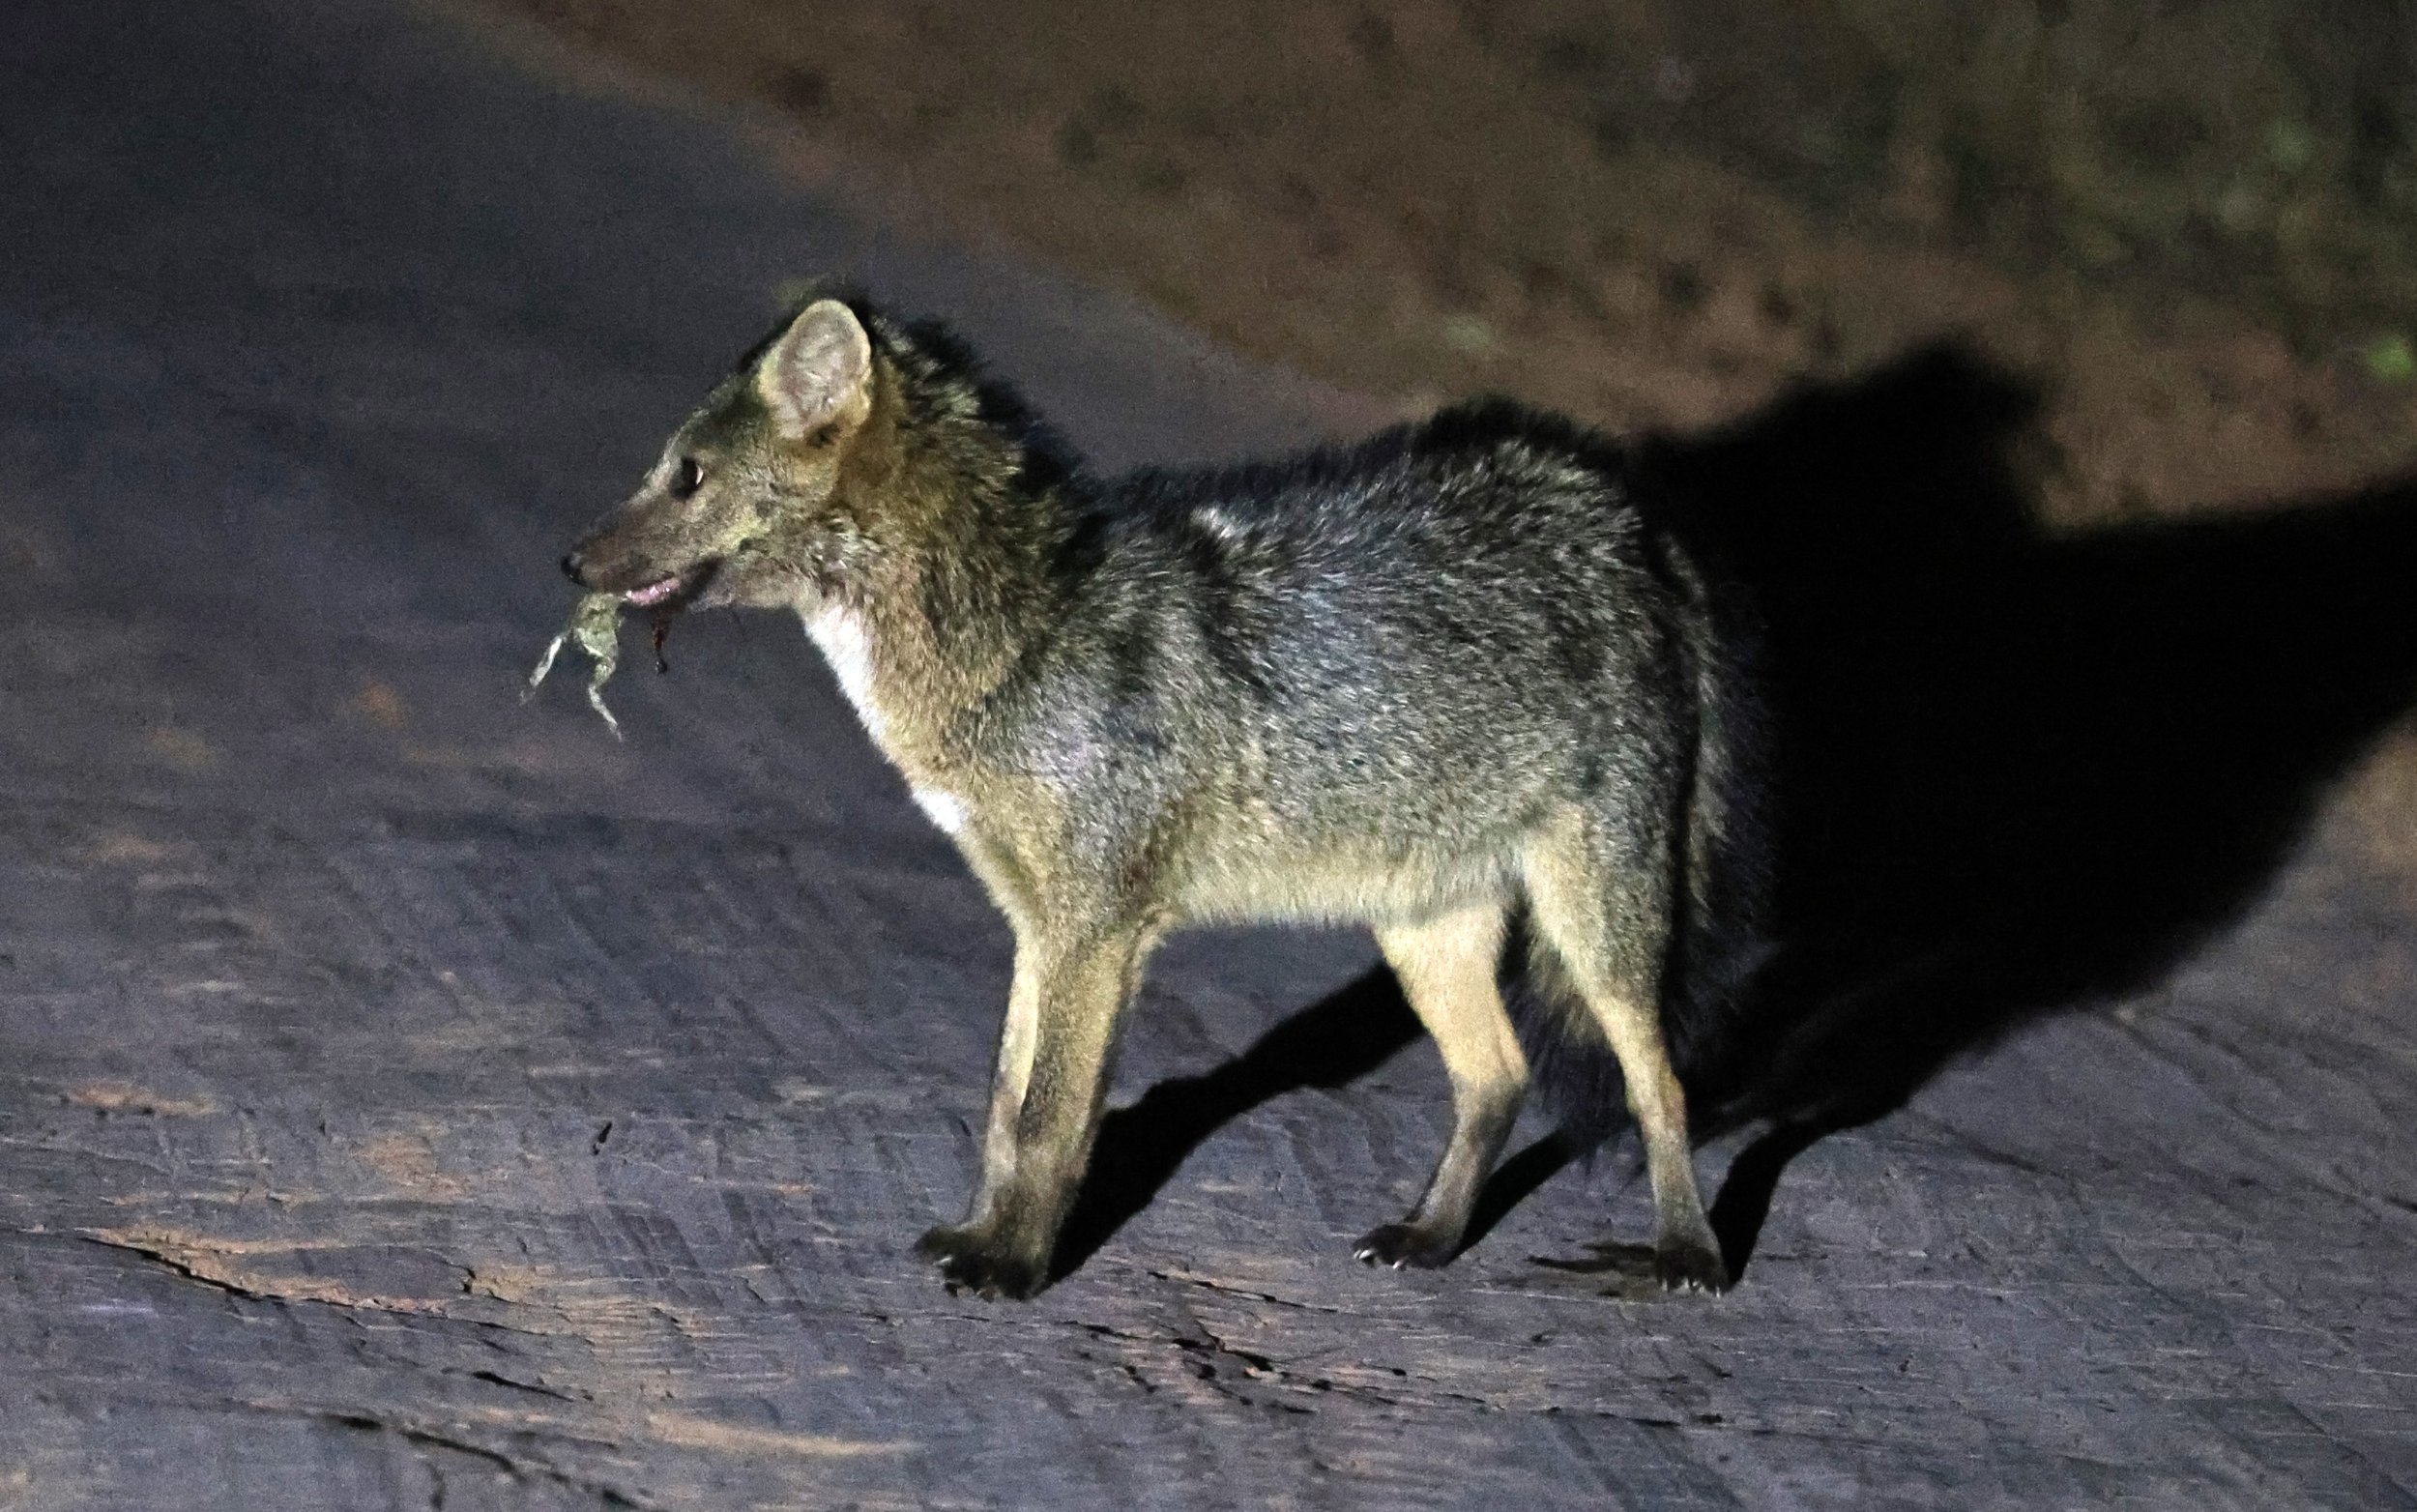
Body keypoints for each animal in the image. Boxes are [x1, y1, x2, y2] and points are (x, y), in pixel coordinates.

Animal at [558, 292, 1772, 1301]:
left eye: (686, 476)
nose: (570, 564)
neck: (1020, 642)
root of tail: (1618, 506)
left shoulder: (1099, 929)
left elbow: (1049, 1117)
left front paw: (1011, 1268)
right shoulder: (1038, 924)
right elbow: (1002, 1106)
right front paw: (982, 1235)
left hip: (1594, 930)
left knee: (1662, 1086)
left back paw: (1688, 1255)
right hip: (1421, 928)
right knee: (1498, 1078)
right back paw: (1427, 1237)